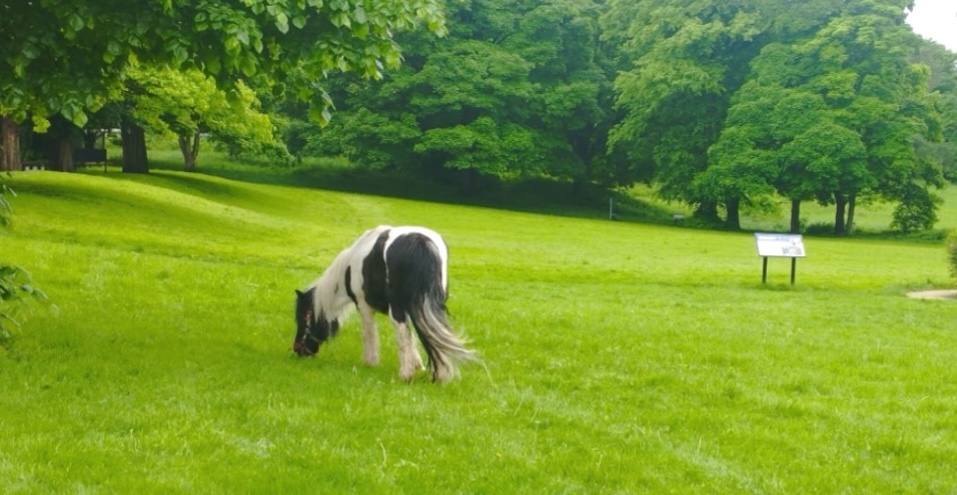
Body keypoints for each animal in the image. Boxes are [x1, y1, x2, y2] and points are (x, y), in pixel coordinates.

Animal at [293, 225, 476, 383]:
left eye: (303, 319)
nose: (297, 350)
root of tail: (420, 242)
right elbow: (413, 335)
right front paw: (418, 364)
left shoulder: (364, 306)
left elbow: (369, 333)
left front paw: (370, 362)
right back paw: (441, 375)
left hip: (397, 309)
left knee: (402, 332)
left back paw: (406, 375)